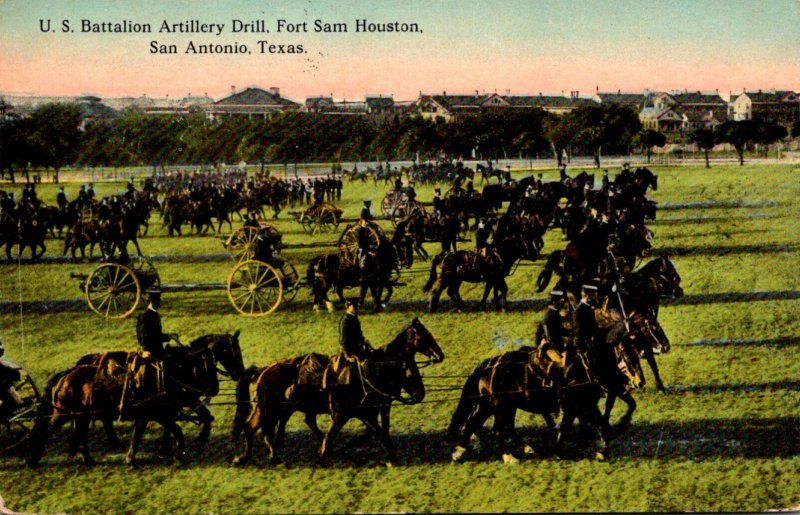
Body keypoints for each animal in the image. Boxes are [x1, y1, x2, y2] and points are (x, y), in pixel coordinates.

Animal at [27, 332, 244, 470]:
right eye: (233, 352)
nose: (240, 374)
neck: (174, 370)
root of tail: (66, 374)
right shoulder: (156, 413)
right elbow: (168, 429)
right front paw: (172, 452)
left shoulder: (163, 411)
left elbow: (174, 426)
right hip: (63, 414)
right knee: (48, 430)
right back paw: (32, 458)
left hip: (81, 416)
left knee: (80, 434)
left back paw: (88, 457)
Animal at [231, 318, 444, 468]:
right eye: (424, 336)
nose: (440, 355)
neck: (369, 371)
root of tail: (261, 371)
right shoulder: (349, 413)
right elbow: (338, 434)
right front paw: (322, 457)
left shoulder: (369, 412)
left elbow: (377, 432)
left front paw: (390, 456)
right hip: (265, 409)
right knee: (252, 428)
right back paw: (245, 458)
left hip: (276, 409)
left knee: (270, 429)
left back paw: (270, 456)